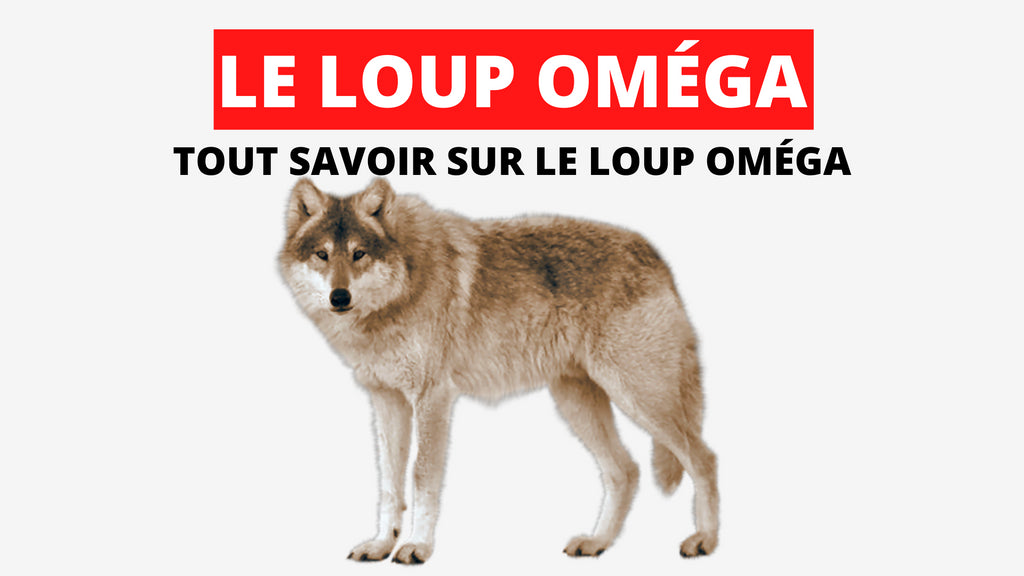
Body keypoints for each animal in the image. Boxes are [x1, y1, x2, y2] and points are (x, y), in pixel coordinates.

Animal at [279, 177, 719, 564]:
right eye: (322, 255)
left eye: (359, 254)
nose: (339, 296)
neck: (403, 288)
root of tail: (654, 253)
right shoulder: (387, 400)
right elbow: (389, 483)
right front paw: (380, 544)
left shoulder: (433, 398)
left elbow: (422, 477)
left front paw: (417, 547)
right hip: (576, 402)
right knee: (625, 470)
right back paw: (597, 542)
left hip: (638, 397)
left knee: (703, 458)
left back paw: (704, 540)